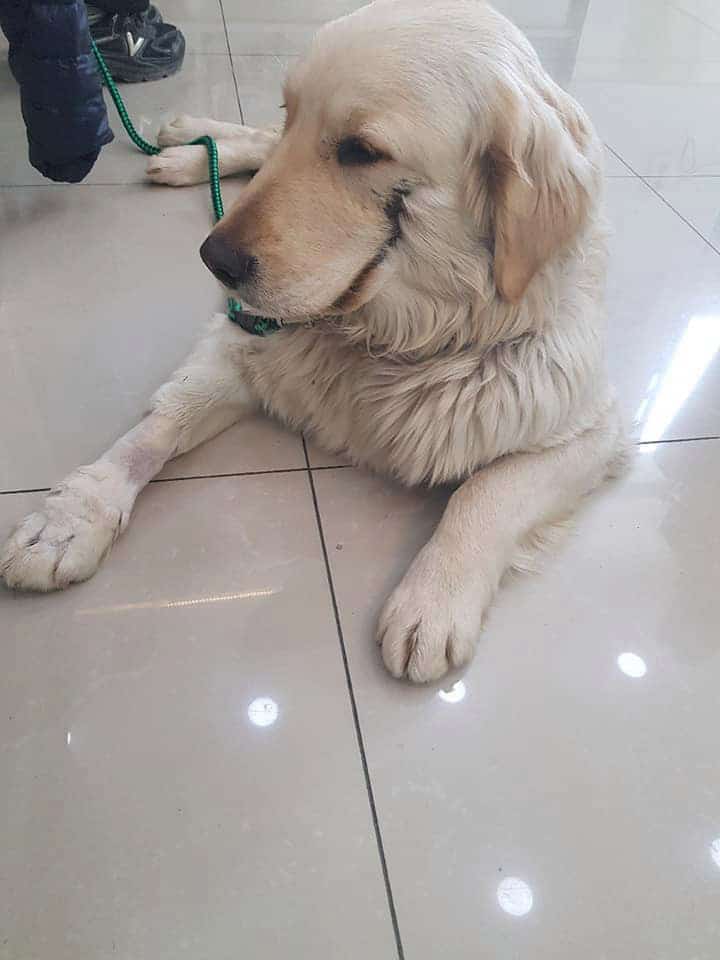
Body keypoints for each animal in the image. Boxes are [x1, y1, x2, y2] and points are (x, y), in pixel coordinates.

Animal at [0, 3, 620, 688]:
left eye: (362, 151)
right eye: (295, 109)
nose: (213, 259)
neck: (394, 336)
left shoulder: (592, 430)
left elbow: (486, 492)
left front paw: (432, 601)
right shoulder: (245, 339)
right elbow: (154, 430)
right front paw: (70, 519)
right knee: (258, 141)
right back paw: (189, 143)